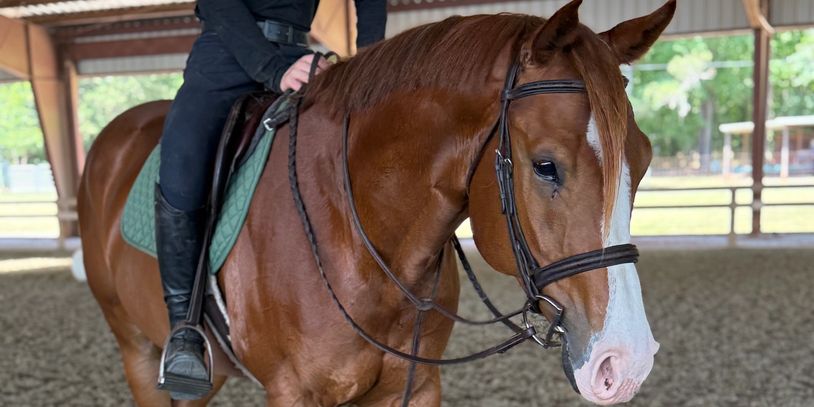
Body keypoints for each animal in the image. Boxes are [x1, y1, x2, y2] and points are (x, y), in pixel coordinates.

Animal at [78, 0, 676, 405]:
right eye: (546, 165)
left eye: (643, 161)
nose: (626, 363)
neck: (361, 238)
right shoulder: (294, 393)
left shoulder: (415, 385)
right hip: (138, 352)